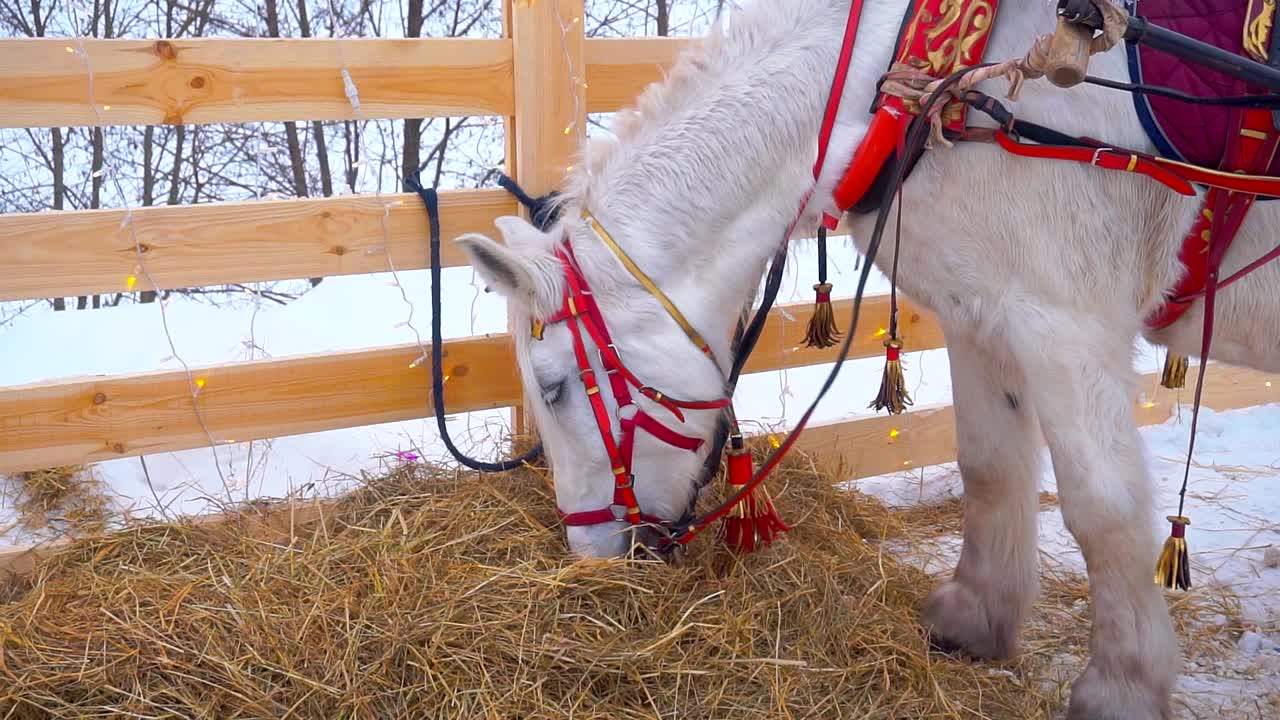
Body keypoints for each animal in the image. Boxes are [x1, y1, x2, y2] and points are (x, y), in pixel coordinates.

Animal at [455, 2, 1280, 712]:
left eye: (555, 387)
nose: (592, 555)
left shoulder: (1064, 323)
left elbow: (1102, 512)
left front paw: (1122, 685)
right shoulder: (983, 314)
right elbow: (990, 465)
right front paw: (974, 617)